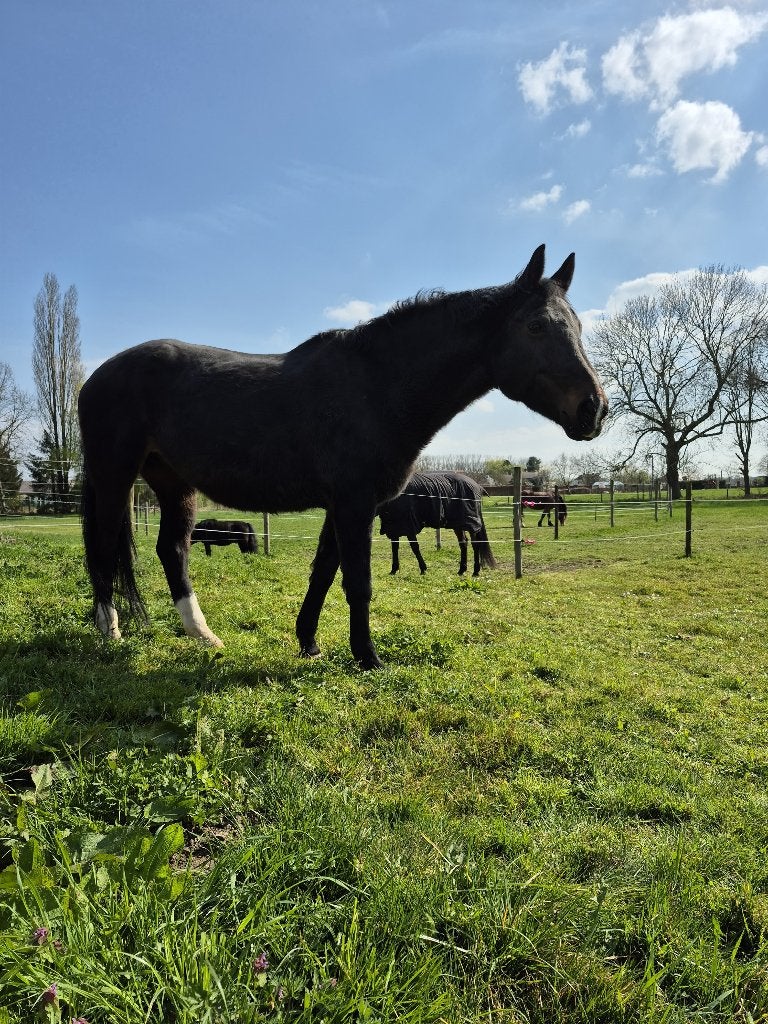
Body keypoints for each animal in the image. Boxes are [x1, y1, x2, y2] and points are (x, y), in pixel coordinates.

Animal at [78, 244, 607, 669]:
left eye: (579, 325)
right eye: (536, 326)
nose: (594, 408)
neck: (377, 387)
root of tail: (97, 376)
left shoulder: (343, 506)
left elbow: (324, 574)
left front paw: (309, 643)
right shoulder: (355, 503)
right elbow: (358, 582)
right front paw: (367, 657)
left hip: (174, 484)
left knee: (172, 550)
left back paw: (203, 636)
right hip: (114, 477)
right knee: (103, 548)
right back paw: (110, 632)